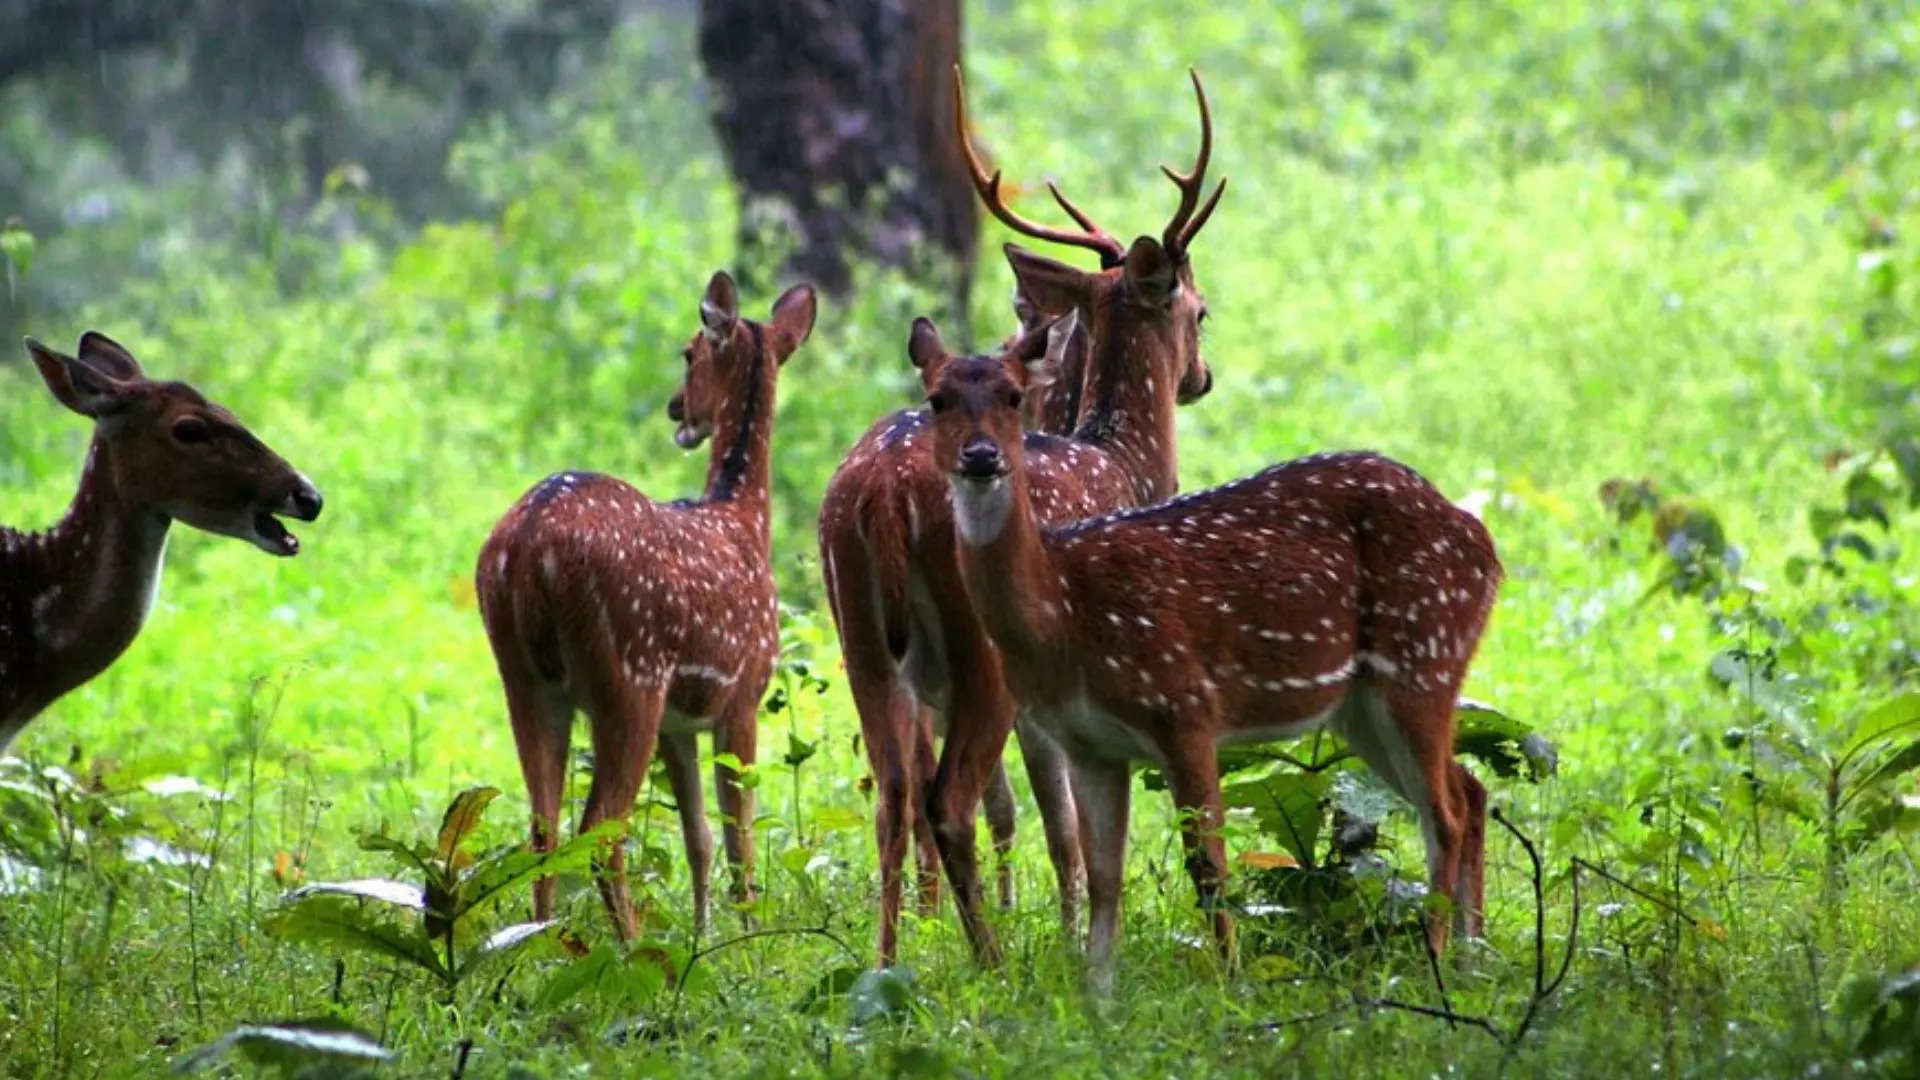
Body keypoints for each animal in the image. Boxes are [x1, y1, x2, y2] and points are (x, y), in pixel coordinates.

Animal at [480, 270, 817, 933]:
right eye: (689, 349)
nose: (676, 409)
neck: (743, 520)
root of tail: (528, 545)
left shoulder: (678, 722)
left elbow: (700, 839)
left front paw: (705, 934)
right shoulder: (741, 693)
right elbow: (738, 838)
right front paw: (745, 936)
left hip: (526, 679)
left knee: (543, 829)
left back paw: (544, 937)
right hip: (628, 675)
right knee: (599, 832)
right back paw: (633, 946)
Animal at [817, 67, 1221, 960]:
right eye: (1201, 308)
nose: (1202, 376)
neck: (1123, 461)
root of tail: (881, 496)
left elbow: (1054, 821)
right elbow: (1072, 824)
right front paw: (1076, 941)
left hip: (860, 636)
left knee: (891, 795)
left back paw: (890, 960)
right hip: (983, 651)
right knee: (945, 801)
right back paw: (989, 962)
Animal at [913, 332, 1497, 991]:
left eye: (1014, 396)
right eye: (936, 398)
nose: (981, 456)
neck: (1062, 612)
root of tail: (1486, 546)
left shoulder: (1183, 704)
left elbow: (1209, 862)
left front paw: (1232, 983)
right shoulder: (1087, 743)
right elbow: (1105, 875)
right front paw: (1096, 994)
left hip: (1424, 654)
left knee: (1445, 810)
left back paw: (1437, 958)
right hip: (1364, 704)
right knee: (1470, 789)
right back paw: (1474, 955)